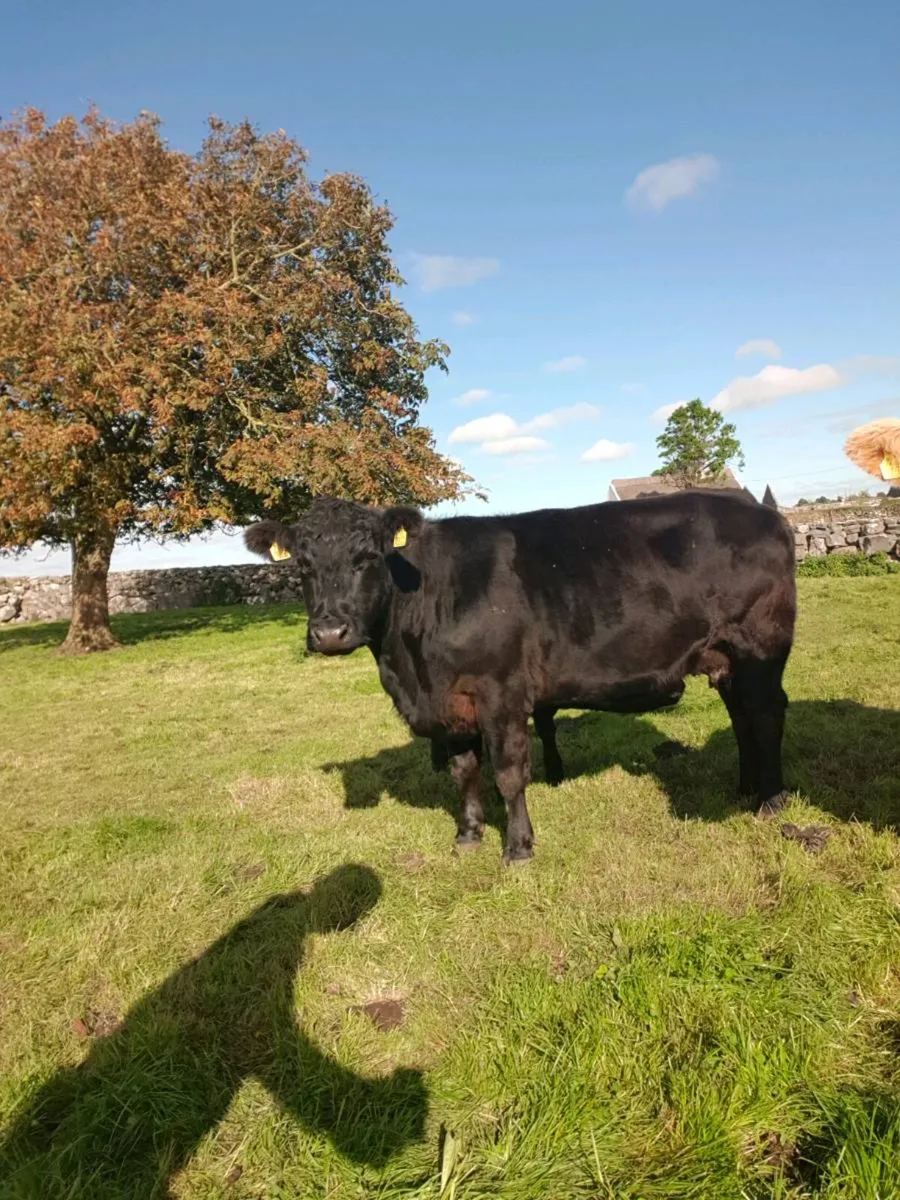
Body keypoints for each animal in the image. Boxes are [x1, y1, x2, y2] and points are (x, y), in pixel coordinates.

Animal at [244, 491, 796, 864]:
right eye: (302, 564)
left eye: (368, 558)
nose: (329, 632)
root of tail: (763, 512)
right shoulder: (452, 703)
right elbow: (464, 771)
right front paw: (468, 835)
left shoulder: (501, 692)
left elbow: (508, 774)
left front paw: (518, 847)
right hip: (725, 659)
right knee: (743, 719)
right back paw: (744, 789)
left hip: (760, 648)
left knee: (768, 716)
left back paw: (771, 802)